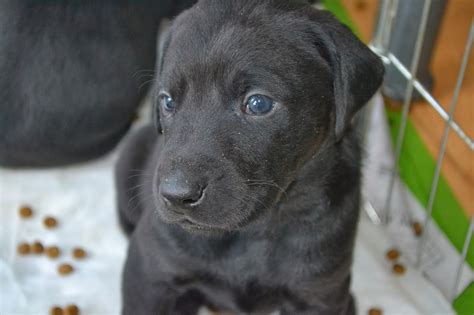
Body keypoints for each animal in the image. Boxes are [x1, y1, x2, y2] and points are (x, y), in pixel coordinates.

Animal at [115, 1, 386, 314]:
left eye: (258, 104)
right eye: (168, 101)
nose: (176, 195)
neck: (256, 231)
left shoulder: (318, 293)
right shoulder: (150, 272)